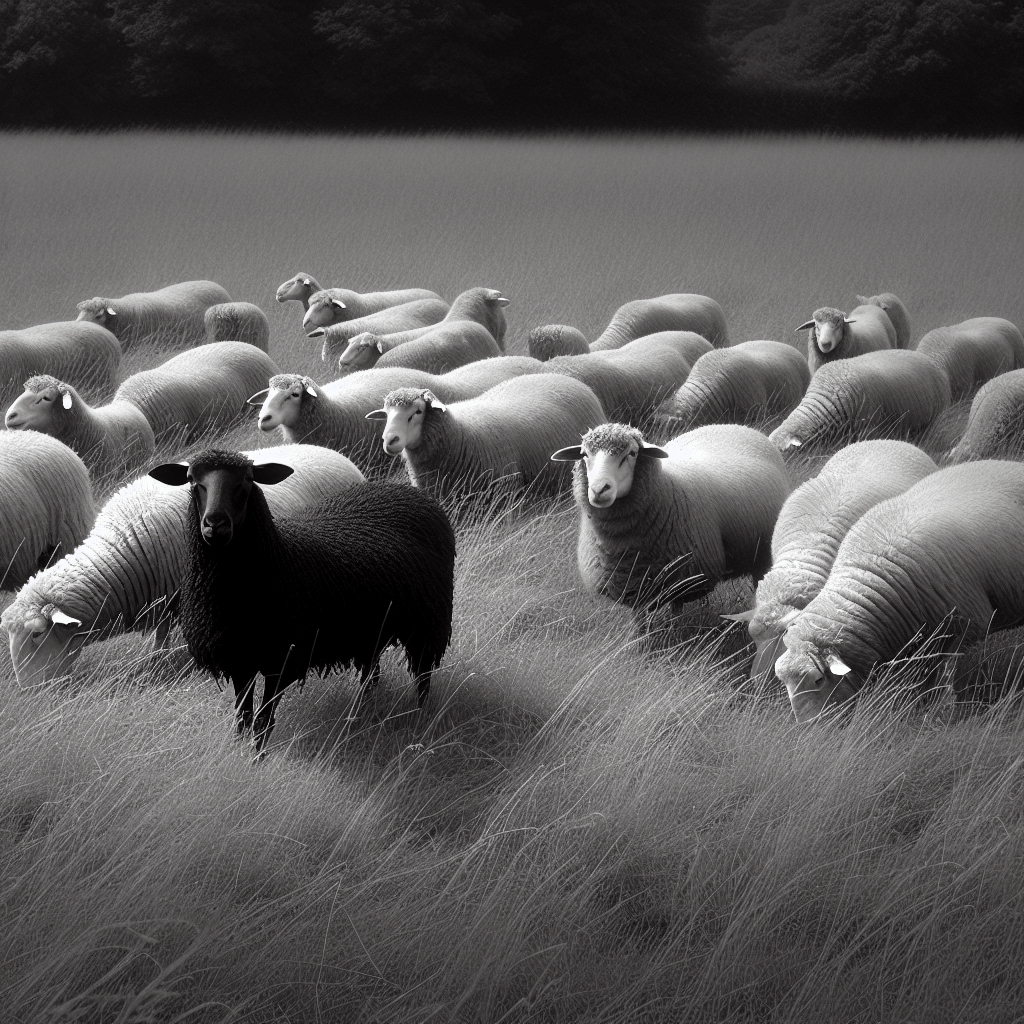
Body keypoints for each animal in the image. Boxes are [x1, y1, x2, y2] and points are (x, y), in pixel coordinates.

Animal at [3, 444, 367, 688]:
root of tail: (341, 457)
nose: (27, 691)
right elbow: (160, 639)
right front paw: (155, 663)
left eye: (36, 634)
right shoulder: (164, 598)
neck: (123, 546)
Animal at [148, 450, 456, 753]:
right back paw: (359, 716)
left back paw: (420, 718)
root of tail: (408, 491)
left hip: (428, 623)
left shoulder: (281, 661)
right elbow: (243, 717)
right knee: (371, 675)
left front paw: (256, 759)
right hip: (371, 629)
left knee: (423, 677)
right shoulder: (239, 660)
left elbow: (263, 722)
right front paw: (238, 752)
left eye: (246, 479)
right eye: (192, 479)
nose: (215, 524)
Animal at [550, 422, 791, 613]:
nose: (599, 489)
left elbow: (676, 615)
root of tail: (735, 426)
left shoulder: (682, 578)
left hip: (763, 555)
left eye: (632, 453)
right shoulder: (635, 583)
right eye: (584, 454)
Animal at [773, 460, 1024, 722]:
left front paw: (946, 711)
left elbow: (946, 679)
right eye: (784, 681)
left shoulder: (965, 628)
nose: (809, 726)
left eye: (818, 679)